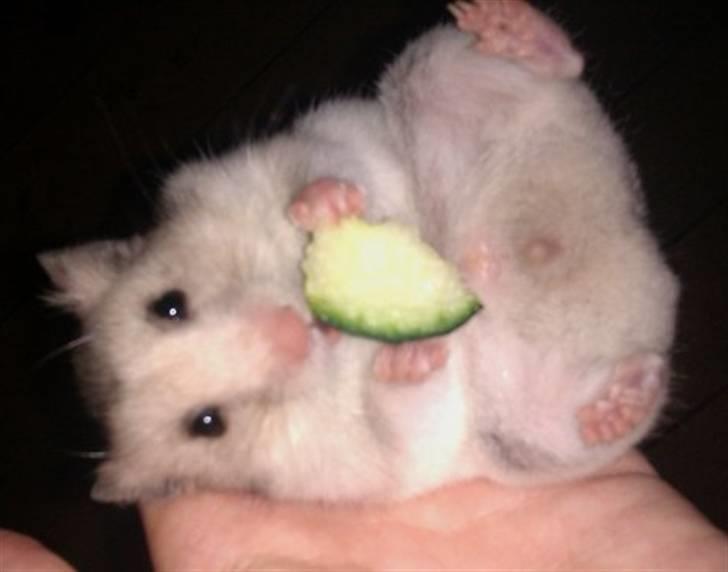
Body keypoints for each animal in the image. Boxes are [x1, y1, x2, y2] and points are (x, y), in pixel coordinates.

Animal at [39, 0, 678, 503]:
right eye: (206, 423)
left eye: (168, 305)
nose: (293, 329)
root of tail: (660, 284)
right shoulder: (368, 466)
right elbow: (400, 421)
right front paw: (408, 360)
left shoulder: (246, 168)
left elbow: (319, 170)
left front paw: (323, 204)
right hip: (532, 434)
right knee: (586, 417)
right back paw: (617, 401)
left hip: (436, 63)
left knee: (559, 65)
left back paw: (504, 24)